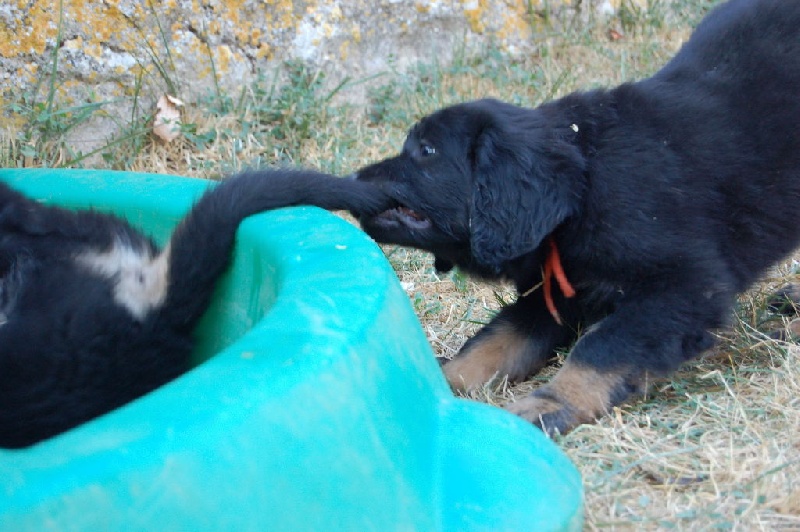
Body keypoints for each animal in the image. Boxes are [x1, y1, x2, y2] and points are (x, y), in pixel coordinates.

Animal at [353, 0, 800, 435]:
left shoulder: (686, 285)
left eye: (426, 151)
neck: (585, 186)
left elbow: (602, 347)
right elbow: (495, 340)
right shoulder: (554, 292)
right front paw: (436, 386)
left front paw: (550, 404)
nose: (356, 179)